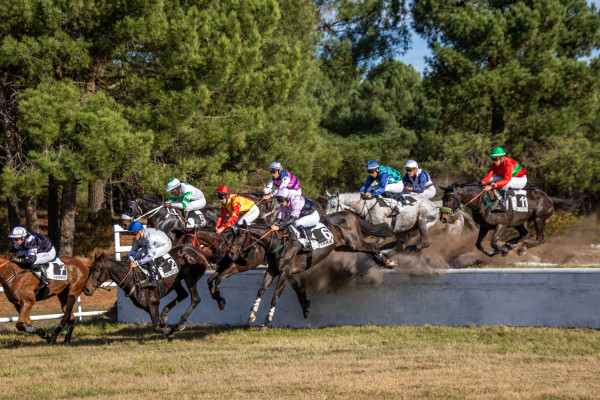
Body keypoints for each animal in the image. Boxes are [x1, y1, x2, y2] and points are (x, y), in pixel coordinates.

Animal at [216, 211, 394, 330]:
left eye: (240, 236)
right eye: (233, 236)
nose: (231, 253)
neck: (276, 243)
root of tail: (348, 212)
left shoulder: (284, 272)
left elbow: (275, 297)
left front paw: (266, 322)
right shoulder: (273, 270)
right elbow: (261, 291)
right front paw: (252, 314)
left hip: (354, 242)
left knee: (371, 246)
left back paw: (389, 261)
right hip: (345, 246)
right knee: (370, 249)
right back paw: (383, 261)